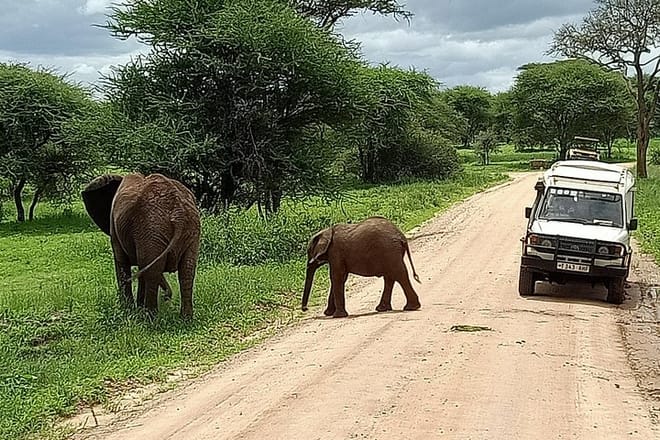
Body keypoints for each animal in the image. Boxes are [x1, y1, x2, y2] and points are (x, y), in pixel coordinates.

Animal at [81, 173, 201, 319]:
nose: (167, 296)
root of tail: (179, 214)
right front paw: (136, 309)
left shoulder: (115, 228)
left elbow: (122, 264)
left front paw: (128, 310)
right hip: (189, 229)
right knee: (187, 271)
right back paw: (185, 318)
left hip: (152, 228)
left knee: (152, 271)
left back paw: (150, 317)